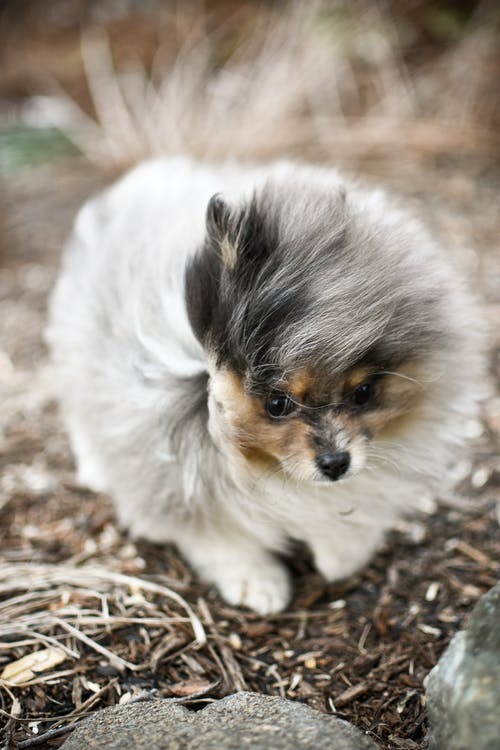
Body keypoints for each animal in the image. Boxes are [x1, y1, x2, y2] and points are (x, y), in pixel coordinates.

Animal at [47, 159, 484, 616]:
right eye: (277, 403)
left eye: (363, 394)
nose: (335, 463)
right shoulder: (176, 471)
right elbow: (224, 539)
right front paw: (258, 584)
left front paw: (340, 556)